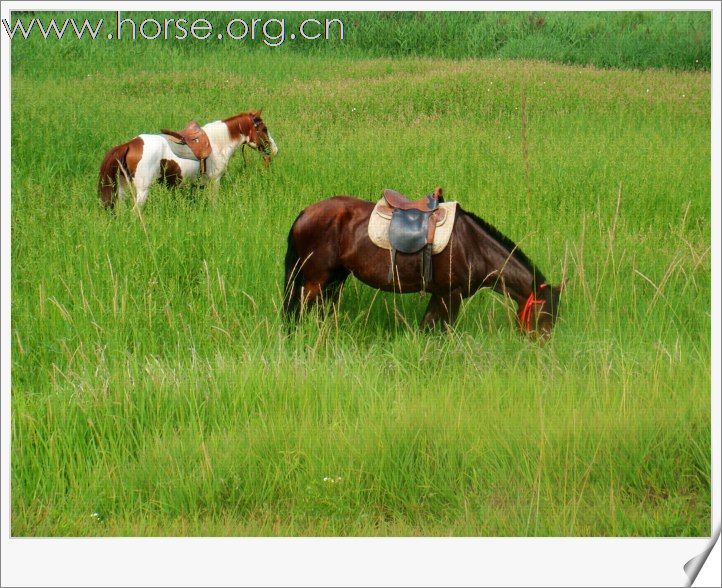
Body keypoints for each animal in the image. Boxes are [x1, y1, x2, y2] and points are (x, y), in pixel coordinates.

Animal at [95, 110, 276, 209]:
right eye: (264, 129)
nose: (274, 149)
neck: (218, 142)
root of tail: (130, 144)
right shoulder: (215, 181)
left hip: (123, 187)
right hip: (142, 190)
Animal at [282, 193, 564, 338]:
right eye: (544, 316)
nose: (543, 345)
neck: (473, 246)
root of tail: (306, 212)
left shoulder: (440, 295)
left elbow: (427, 327)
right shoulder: (451, 295)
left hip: (335, 279)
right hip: (316, 280)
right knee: (300, 309)